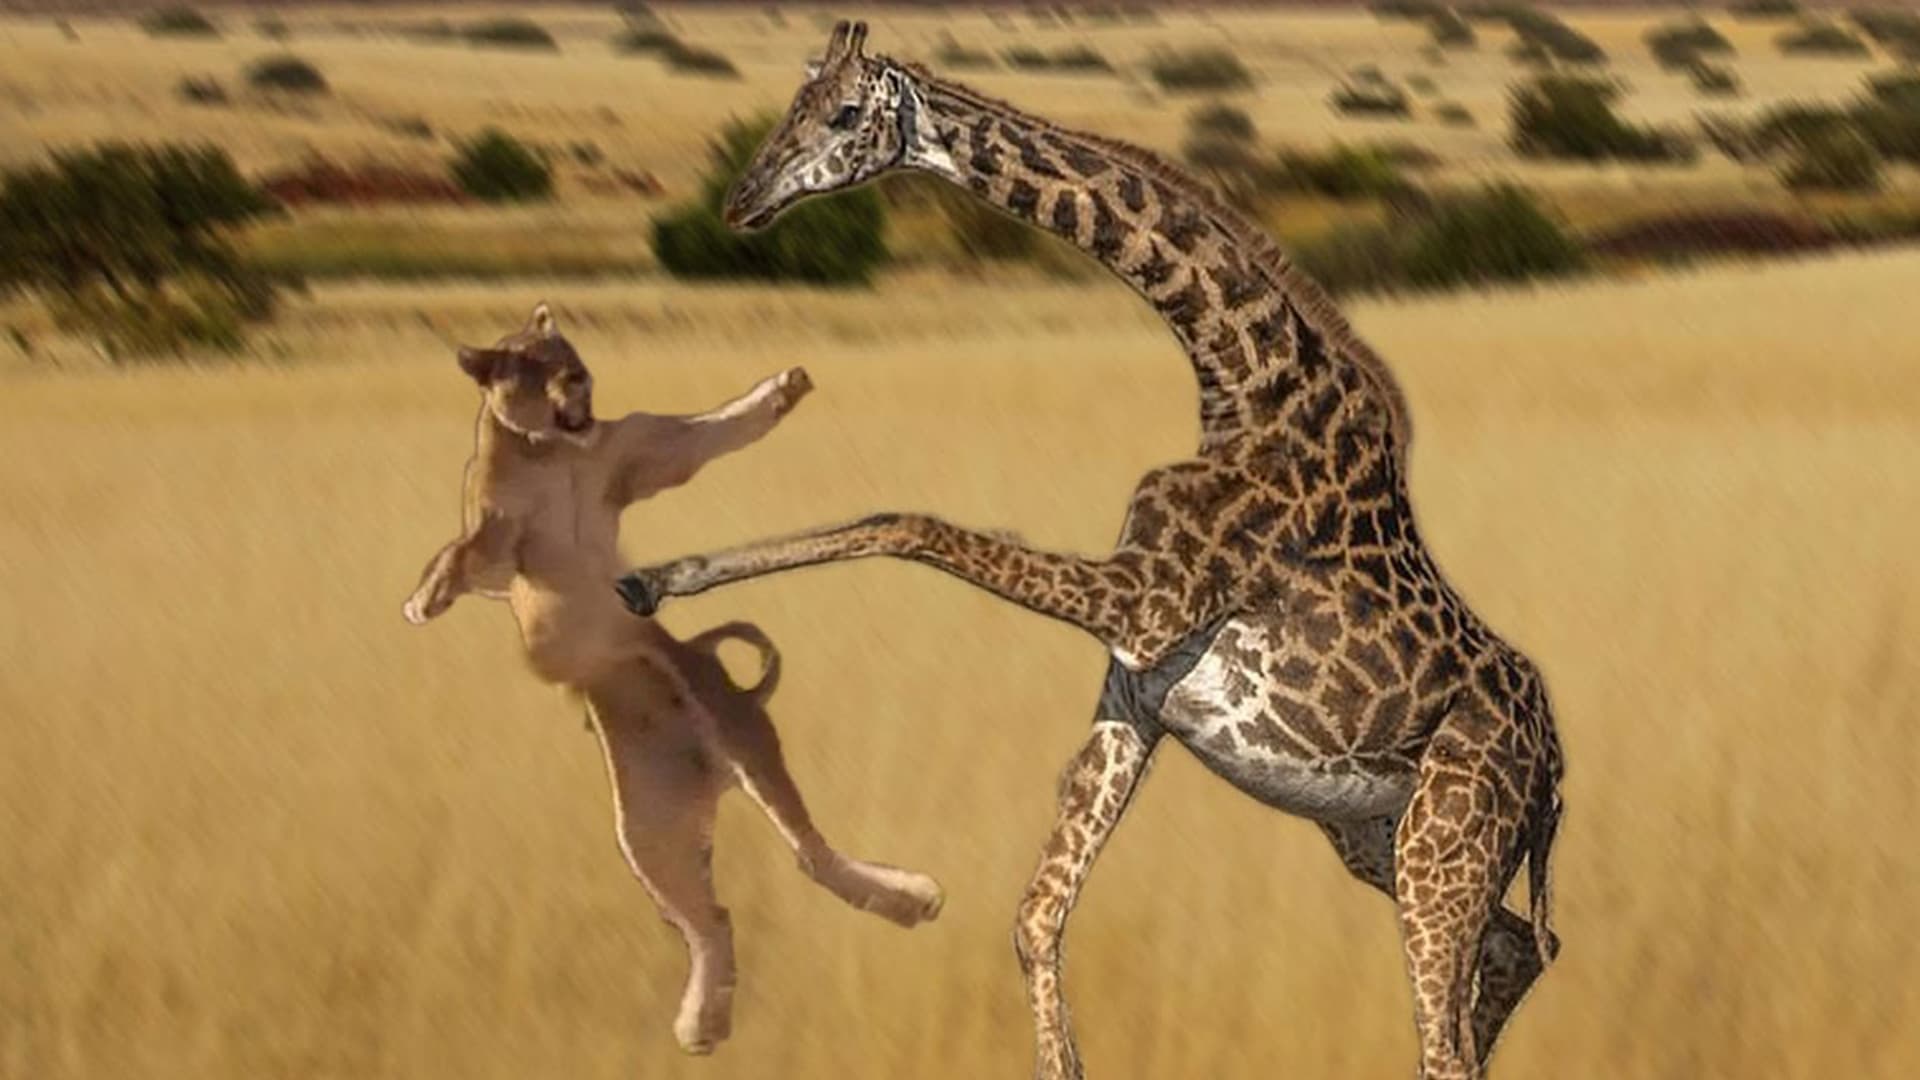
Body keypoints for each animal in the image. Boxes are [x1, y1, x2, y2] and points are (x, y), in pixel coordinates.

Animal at [616, 23, 1565, 1079]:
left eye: (846, 113)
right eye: (793, 103)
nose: (742, 202)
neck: (1242, 384)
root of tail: (1554, 775)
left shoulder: (1146, 603)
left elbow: (908, 522)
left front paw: (662, 578)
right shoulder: (1136, 688)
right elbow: (1035, 918)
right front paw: (651, 575)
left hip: (1447, 840)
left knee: (1450, 1030)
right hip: (1375, 833)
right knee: (1516, 957)